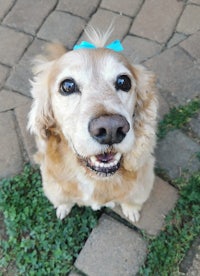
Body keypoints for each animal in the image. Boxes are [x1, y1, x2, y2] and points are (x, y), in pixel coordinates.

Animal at [27, 28, 158, 222]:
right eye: (67, 86)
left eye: (124, 81)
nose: (111, 129)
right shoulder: (53, 184)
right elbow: (62, 199)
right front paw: (63, 207)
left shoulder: (144, 180)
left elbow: (132, 199)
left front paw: (131, 210)